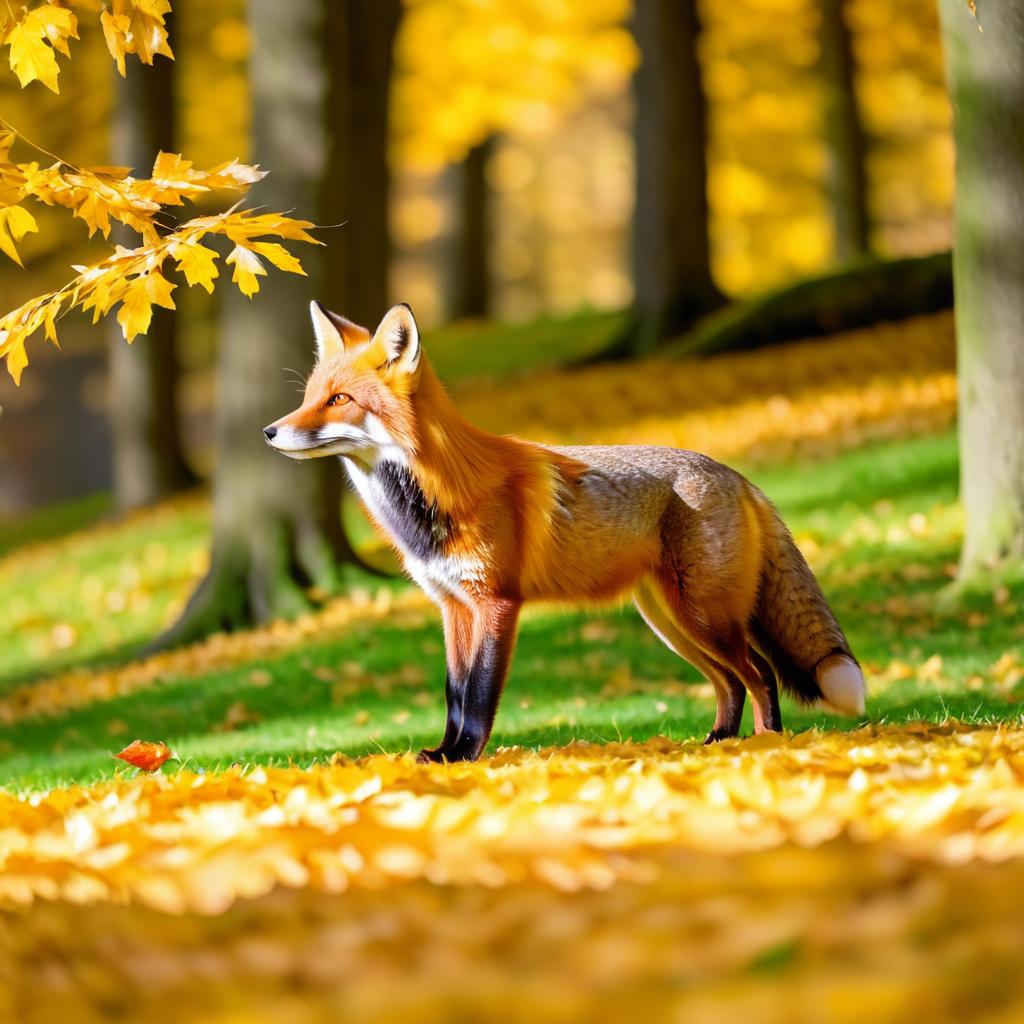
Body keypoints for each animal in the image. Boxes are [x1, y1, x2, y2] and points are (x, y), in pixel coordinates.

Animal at [262, 299, 864, 765]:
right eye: (310, 395)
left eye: (340, 400)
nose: (268, 431)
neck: (433, 498)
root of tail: (737, 476)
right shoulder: (454, 607)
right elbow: (454, 694)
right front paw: (443, 754)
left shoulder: (496, 604)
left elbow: (479, 696)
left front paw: (465, 759)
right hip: (672, 622)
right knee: (732, 682)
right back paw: (719, 743)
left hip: (705, 617)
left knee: (760, 674)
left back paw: (764, 747)